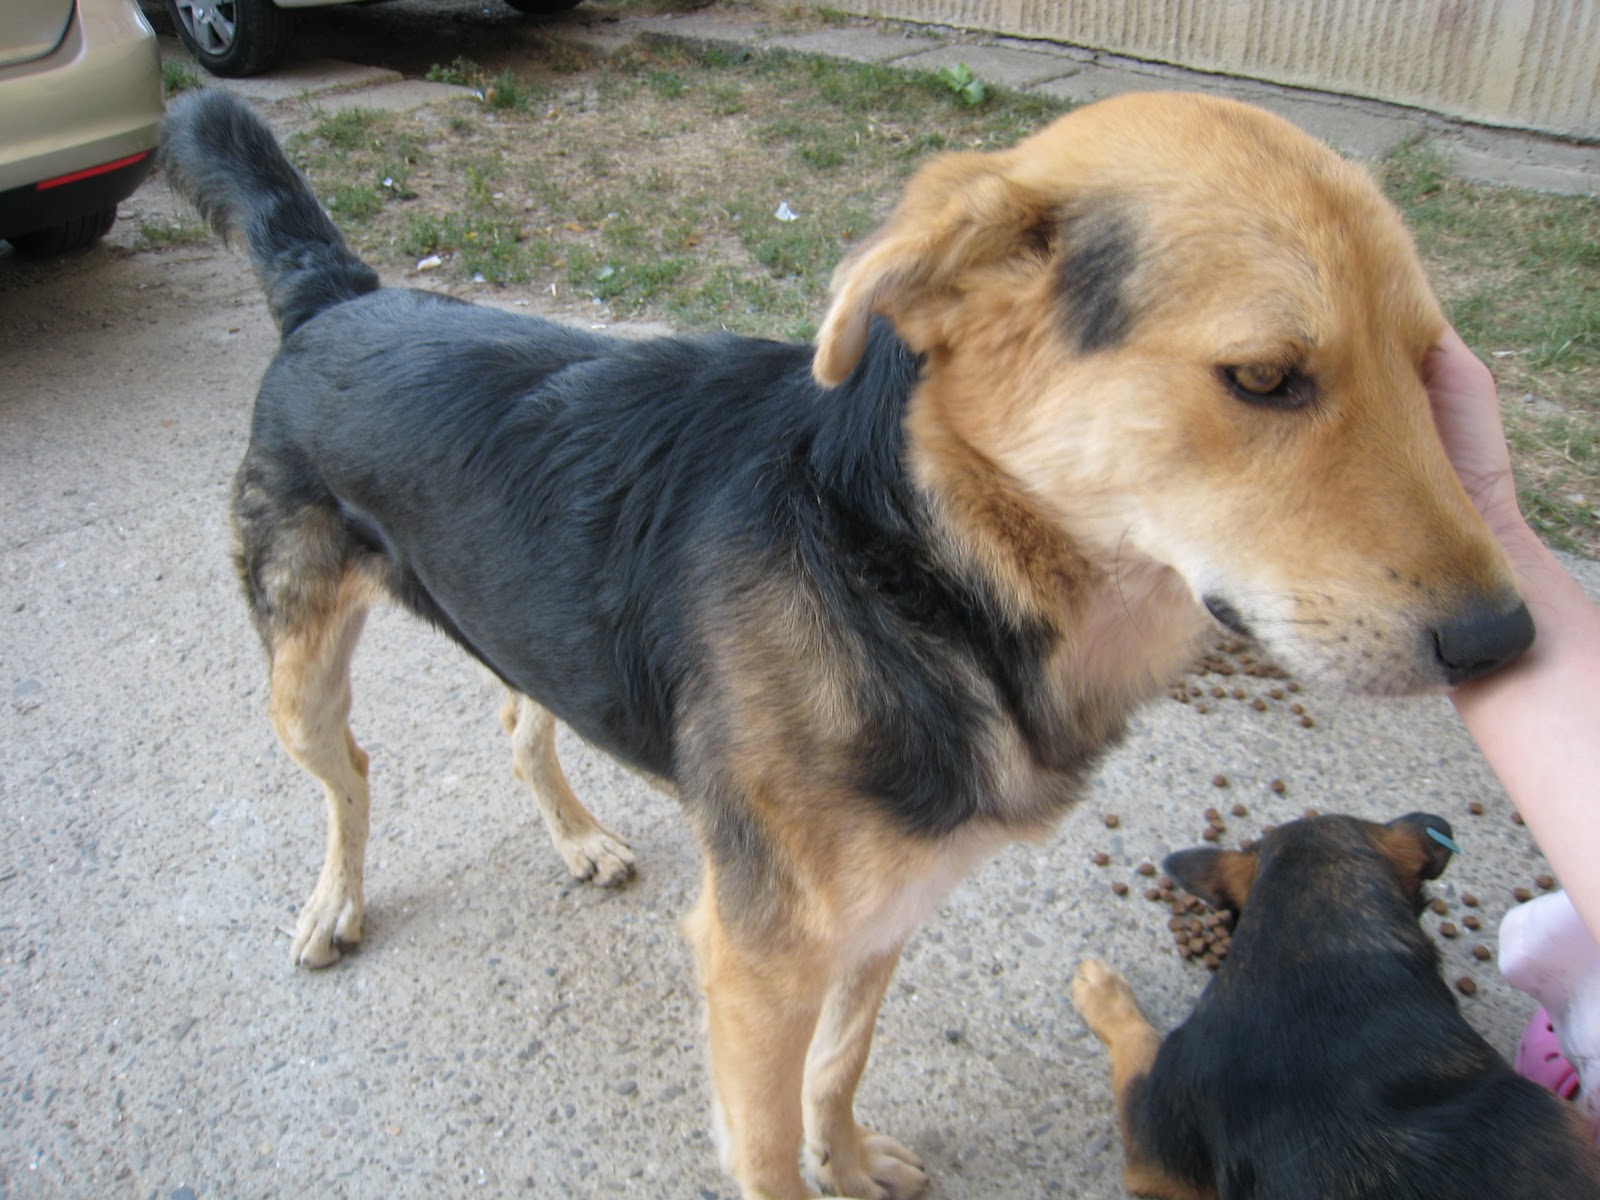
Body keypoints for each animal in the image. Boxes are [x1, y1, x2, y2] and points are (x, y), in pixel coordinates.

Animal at [160, 87, 1535, 1200]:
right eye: (1262, 377)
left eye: (1430, 367)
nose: (1506, 641)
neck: (915, 566)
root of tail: (338, 295)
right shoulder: (755, 965)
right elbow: (768, 1147)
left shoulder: (884, 915)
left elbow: (843, 1065)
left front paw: (854, 1158)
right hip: (300, 675)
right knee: (350, 779)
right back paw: (334, 905)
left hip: (528, 624)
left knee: (515, 718)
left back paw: (581, 838)